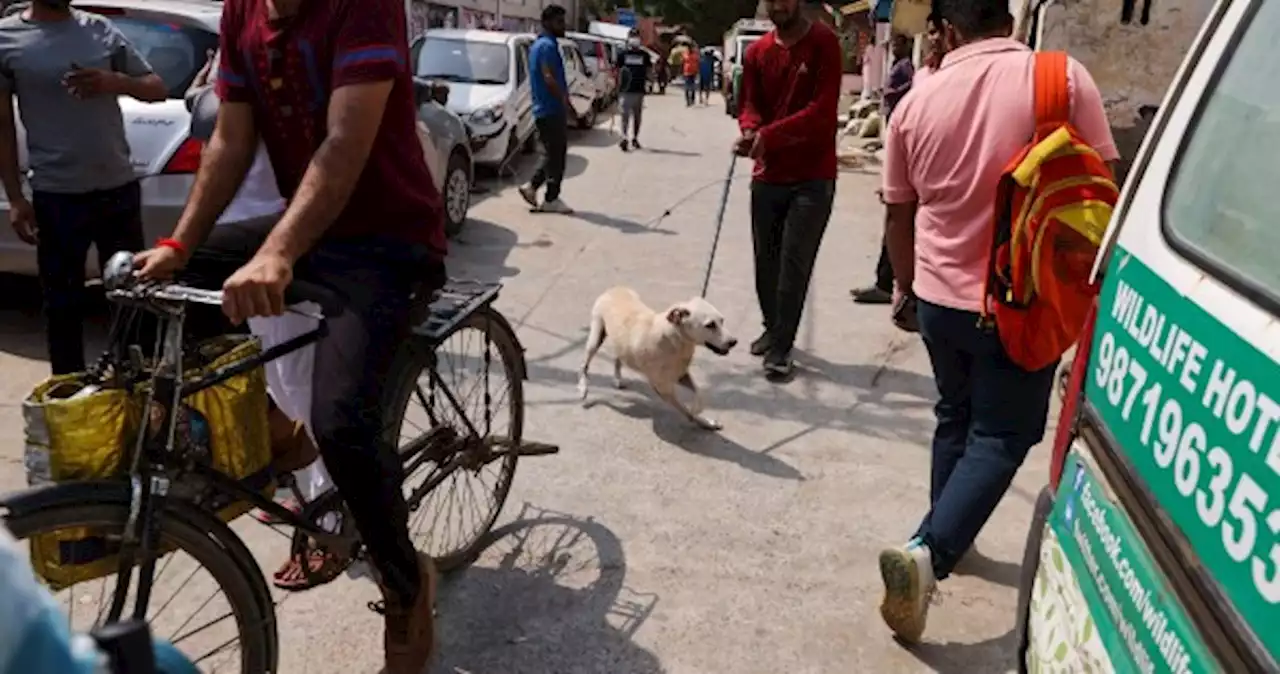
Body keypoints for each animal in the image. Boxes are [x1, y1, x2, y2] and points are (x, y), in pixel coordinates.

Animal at [581, 287, 742, 429]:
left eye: (722, 320)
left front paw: (703, 417)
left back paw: (617, 378)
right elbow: (684, 409)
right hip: (595, 337)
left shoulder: (681, 375)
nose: (733, 342)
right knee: (585, 364)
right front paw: (698, 419)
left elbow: (699, 392)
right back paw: (583, 389)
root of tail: (615, 288)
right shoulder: (663, 389)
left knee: (618, 357)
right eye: (710, 325)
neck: (674, 340)